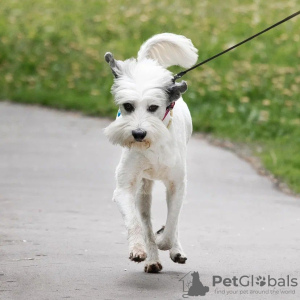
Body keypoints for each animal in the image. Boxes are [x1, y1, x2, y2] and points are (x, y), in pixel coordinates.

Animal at [104, 32, 198, 272]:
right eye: (128, 106)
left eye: (153, 107)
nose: (138, 133)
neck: (154, 142)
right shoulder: (124, 188)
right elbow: (135, 222)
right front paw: (140, 248)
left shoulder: (177, 184)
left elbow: (173, 222)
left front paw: (167, 241)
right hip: (144, 188)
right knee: (145, 219)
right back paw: (152, 258)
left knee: (174, 220)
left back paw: (174, 248)